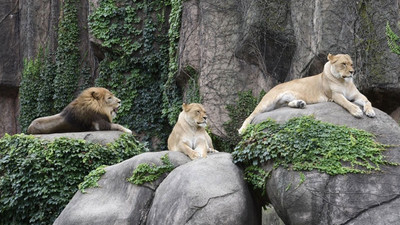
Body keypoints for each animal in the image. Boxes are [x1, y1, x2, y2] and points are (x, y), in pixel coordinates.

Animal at [239, 53, 376, 134]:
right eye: (343, 64)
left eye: (351, 64)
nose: (353, 72)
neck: (344, 82)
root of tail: (274, 87)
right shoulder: (335, 95)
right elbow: (346, 102)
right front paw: (356, 111)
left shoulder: (356, 95)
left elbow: (367, 100)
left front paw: (370, 111)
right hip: (267, 102)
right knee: (251, 115)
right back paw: (242, 129)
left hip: (282, 102)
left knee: (287, 104)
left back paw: (299, 103)